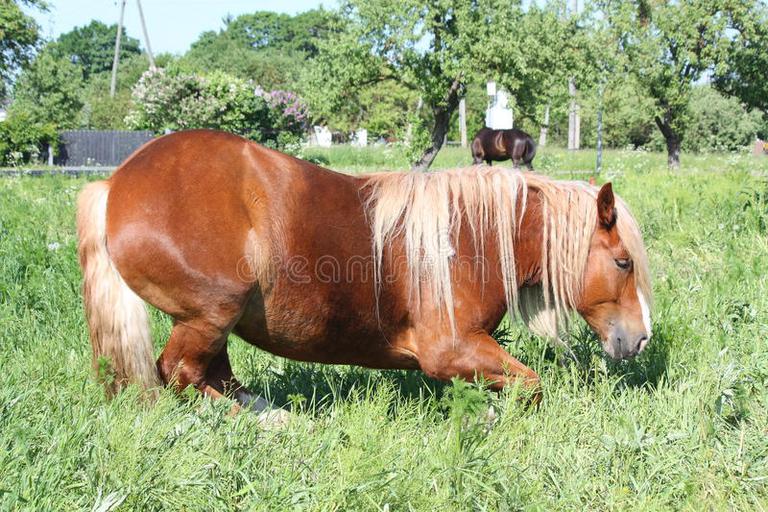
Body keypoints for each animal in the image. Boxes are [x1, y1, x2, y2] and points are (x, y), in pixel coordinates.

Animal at [76, 129, 656, 408]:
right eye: (623, 261)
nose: (641, 338)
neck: (471, 238)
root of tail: (116, 183)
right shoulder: (450, 351)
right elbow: (530, 387)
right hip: (208, 314)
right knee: (181, 375)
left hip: (213, 322)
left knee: (212, 375)